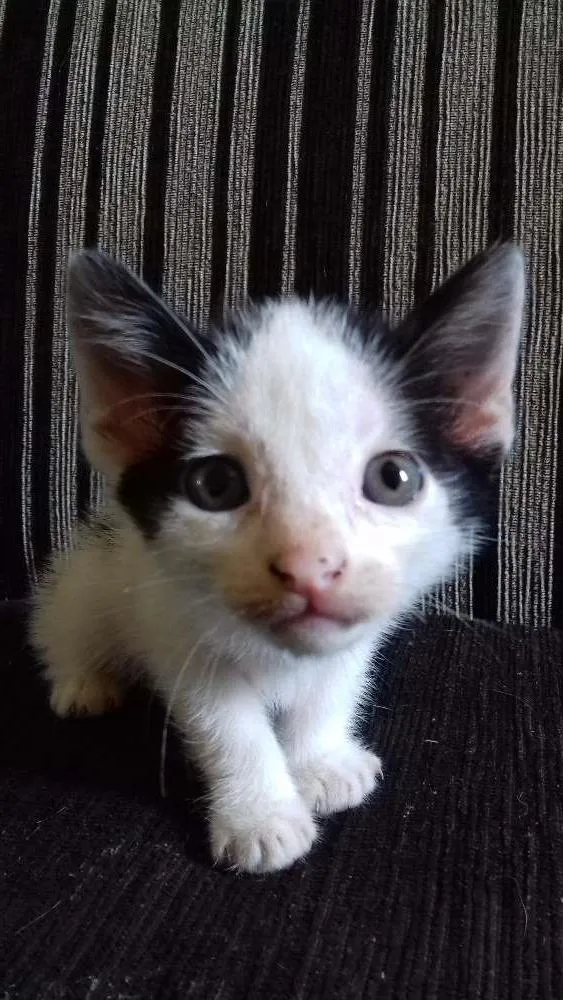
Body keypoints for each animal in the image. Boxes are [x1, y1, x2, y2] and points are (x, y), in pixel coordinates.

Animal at [29, 244, 524, 876]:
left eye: (393, 478)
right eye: (215, 485)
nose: (309, 566)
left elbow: (335, 681)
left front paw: (320, 762)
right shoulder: (172, 621)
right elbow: (226, 722)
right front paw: (259, 817)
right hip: (94, 577)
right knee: (64, 620)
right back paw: (84, 682)